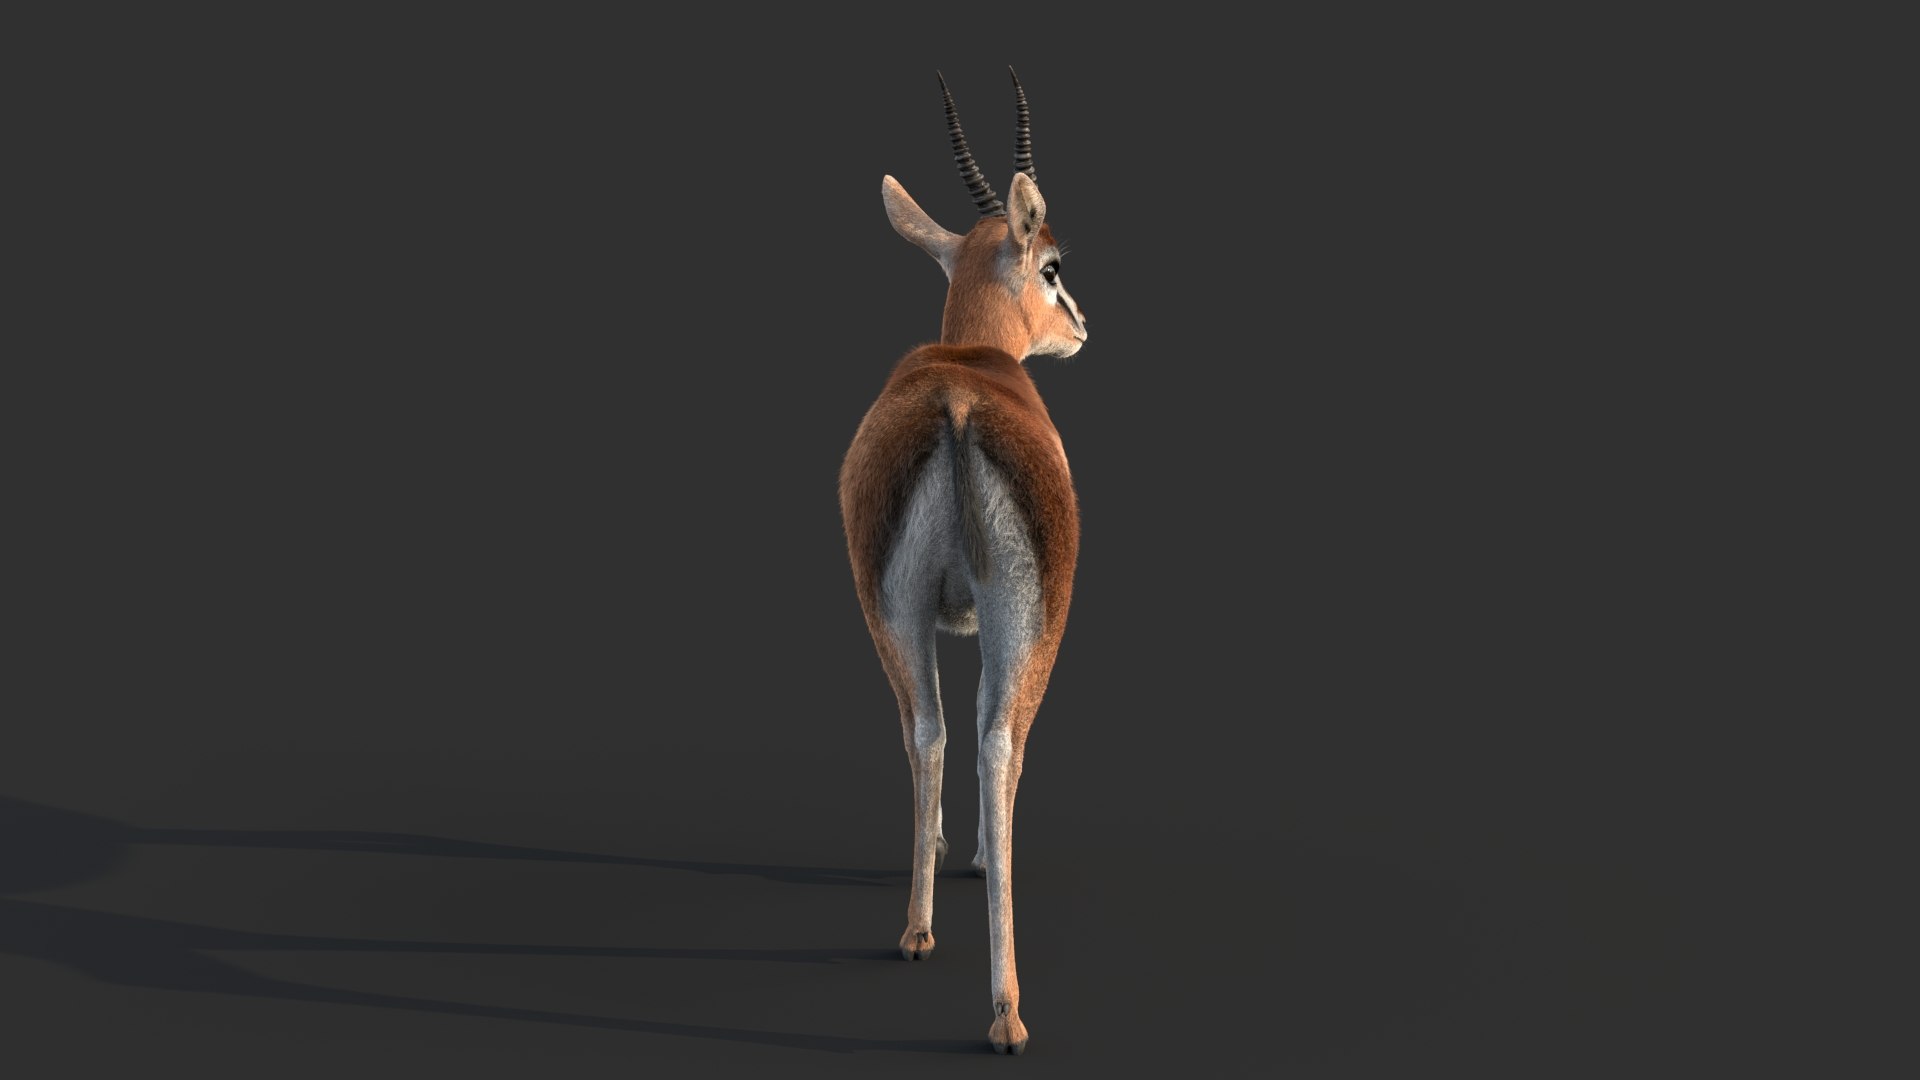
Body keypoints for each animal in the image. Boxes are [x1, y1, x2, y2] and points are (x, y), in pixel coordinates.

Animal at [838, 69, 1087, 1055]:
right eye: (1052, 265)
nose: (1083, 326)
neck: (975, 359)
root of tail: (955, 405)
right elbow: (1000, 746)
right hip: (1032, 620)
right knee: (996, 744)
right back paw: (1007, 1013)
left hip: (888, 610)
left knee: (927, 730)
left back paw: (916, 929)